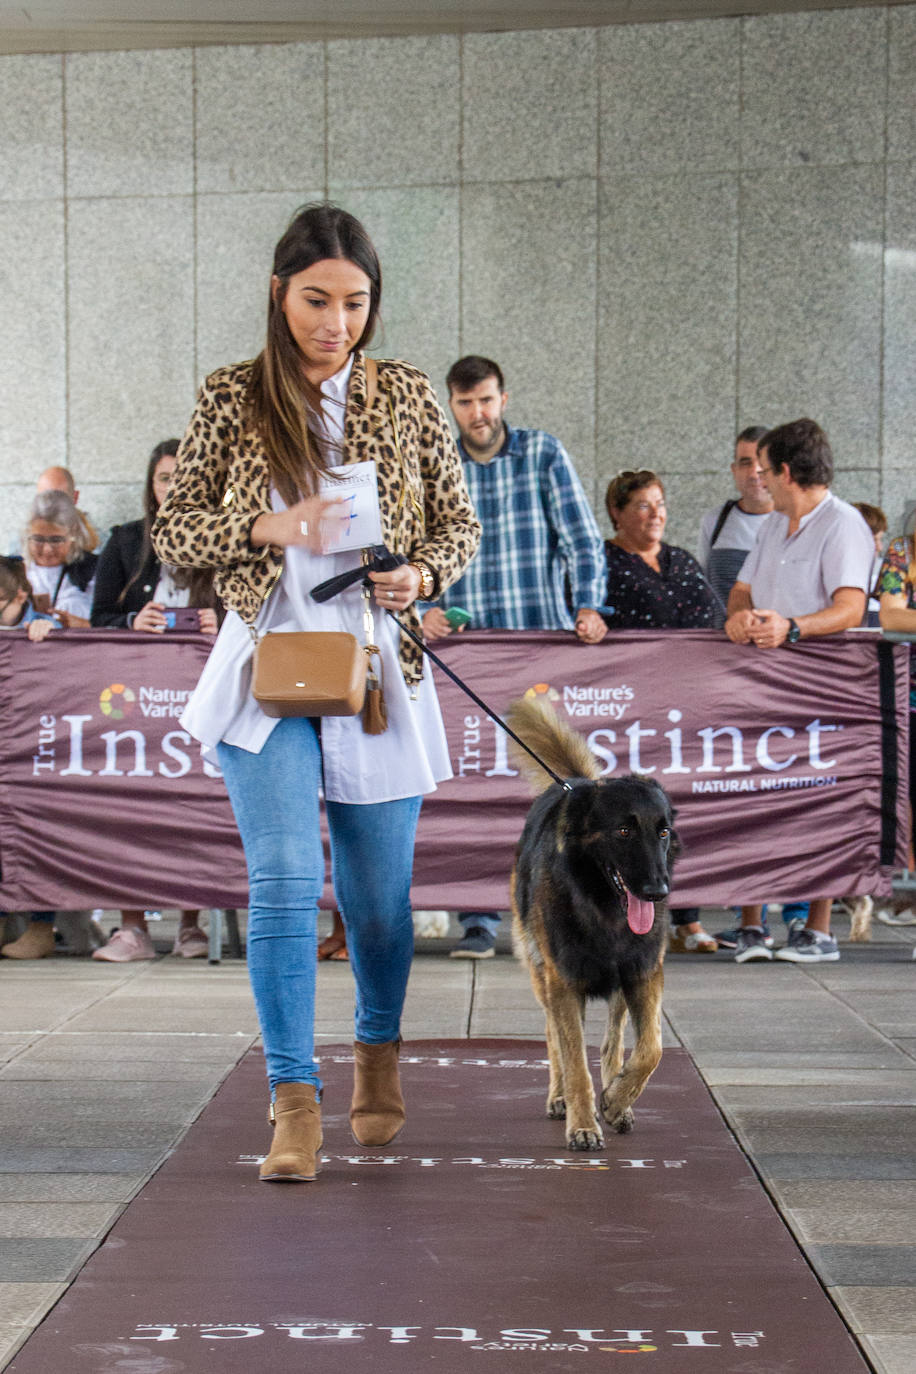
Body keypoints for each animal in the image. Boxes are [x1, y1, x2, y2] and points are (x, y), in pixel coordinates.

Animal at [508, 697, 681, 1148]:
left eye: (663, 833)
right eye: (623, 831)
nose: (658, 891)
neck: (602, 908)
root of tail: (573, 784)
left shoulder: (643, 972)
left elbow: (651, 1048)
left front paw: (617, 1099)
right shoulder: (564, 982)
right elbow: (573, 1061)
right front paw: (583, 1123)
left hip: (619, 986)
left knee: (614, 1040)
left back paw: (617, 1092)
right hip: (542, 975)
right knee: (553, 1037)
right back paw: (559, 1097)